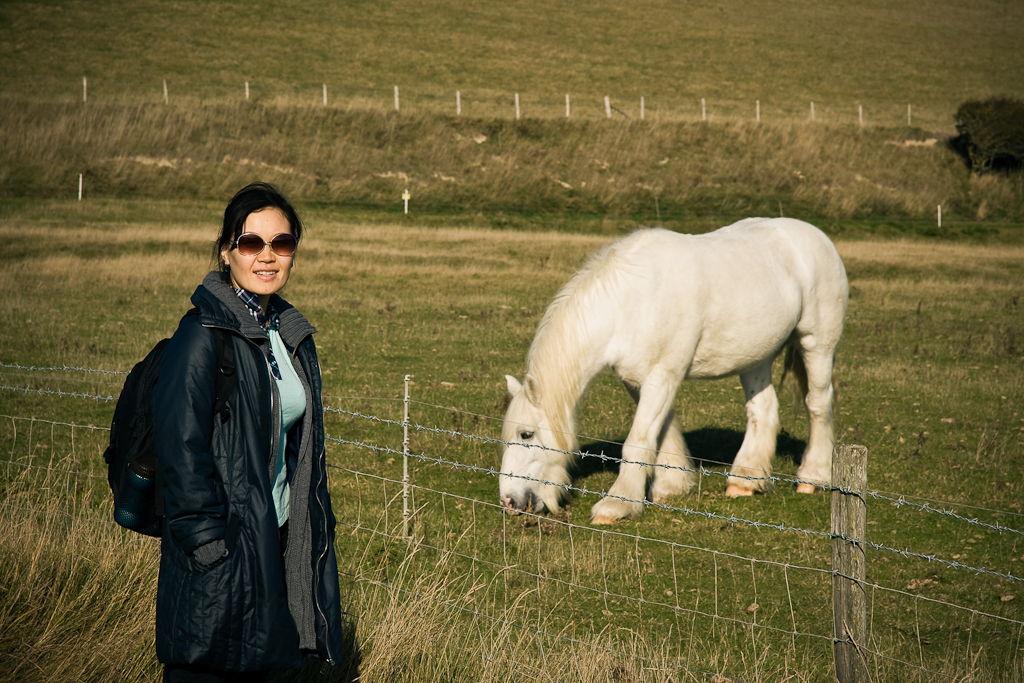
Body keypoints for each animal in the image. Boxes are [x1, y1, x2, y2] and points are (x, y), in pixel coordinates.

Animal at [501, 219, 847, 524]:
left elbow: (638, 439)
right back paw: (745, 480)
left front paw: (617, 505)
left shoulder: (662, 376)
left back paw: (812, 477)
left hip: (817, 344)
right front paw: (671, 485)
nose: (508, 501)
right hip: (755, 359)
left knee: (818, 404)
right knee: (762, 409)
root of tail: (818, 237)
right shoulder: (639, 380)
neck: (631, 301)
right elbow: (662, 428)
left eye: (526, 434)